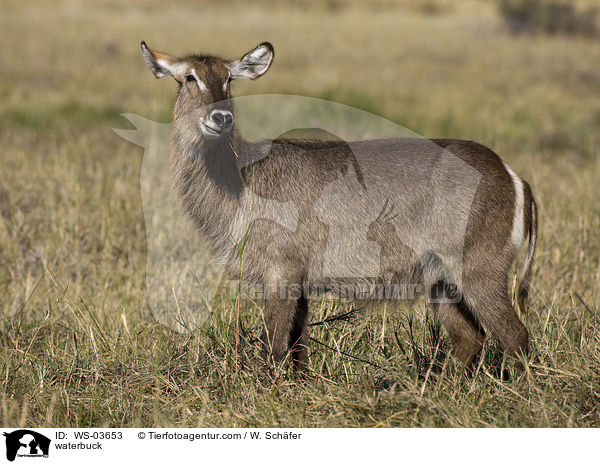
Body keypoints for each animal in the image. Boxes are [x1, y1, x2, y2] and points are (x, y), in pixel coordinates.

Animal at [142, 40, 540, 374]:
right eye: (188, 77)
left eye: (227, 79)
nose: (221, 118)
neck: (241, 181)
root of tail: (513, 176)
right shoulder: (299, 281)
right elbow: (298, 350)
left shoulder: (281, 271)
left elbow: (274, 348)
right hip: (441, 281)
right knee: (471, 339)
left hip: (479, 270)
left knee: (515, 336)